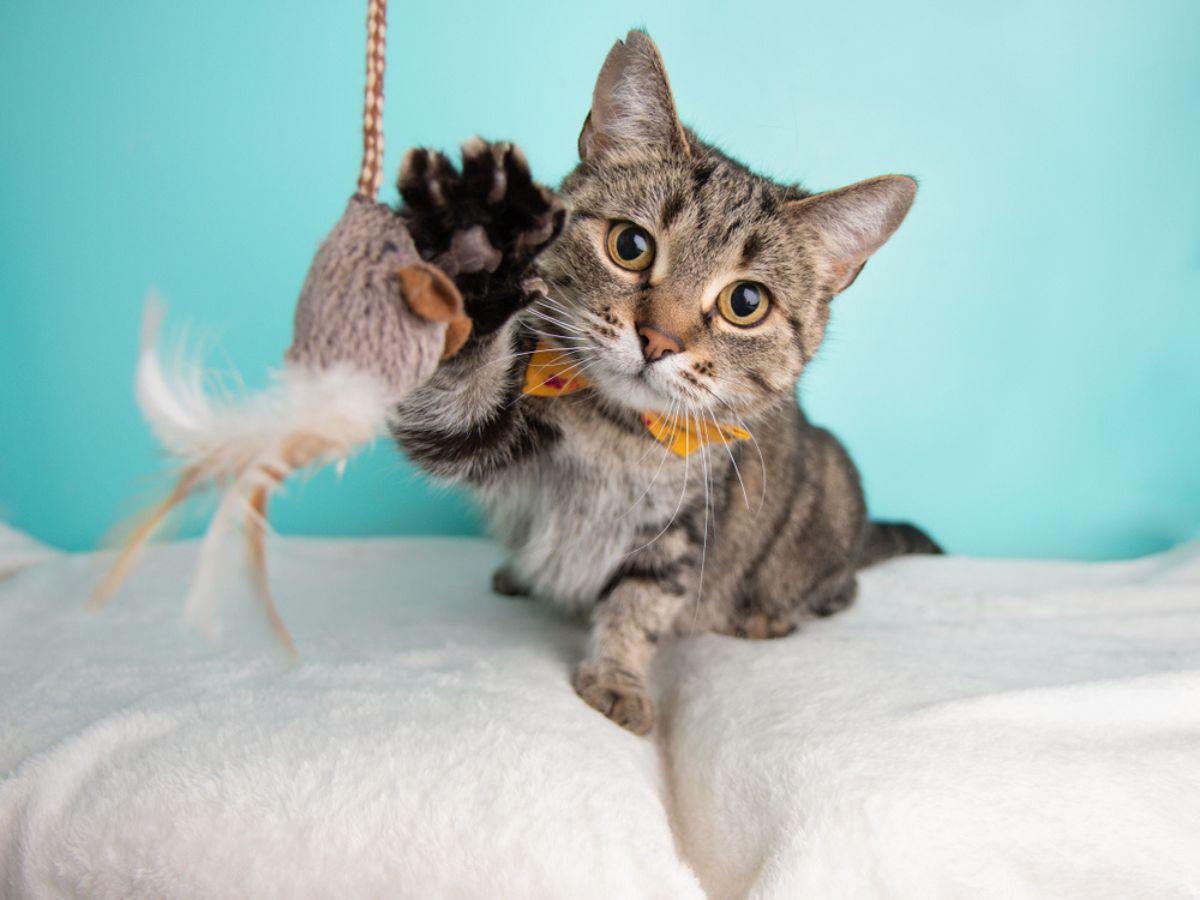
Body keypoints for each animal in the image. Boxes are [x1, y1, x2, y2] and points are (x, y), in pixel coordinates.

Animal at [393, 30, 936, 734]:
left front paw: (615, 675)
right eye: (630, 245)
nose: (658, 340)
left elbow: (640, 602)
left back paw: (765, 615)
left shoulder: (683, 527)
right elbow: (456, 395)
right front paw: (475, 250)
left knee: (839, 589)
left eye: (746, 302)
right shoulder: (482, 429)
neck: (621, 434)